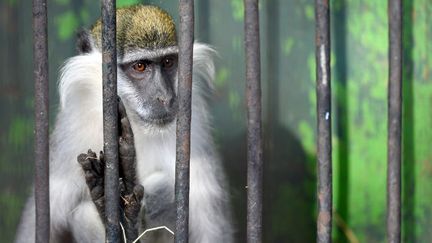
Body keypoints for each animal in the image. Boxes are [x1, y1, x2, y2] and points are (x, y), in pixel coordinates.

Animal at [15, 5, 233, 243]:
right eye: (140, 66)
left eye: (168, 62)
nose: (165, 98)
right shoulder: (71, 129)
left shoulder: (195, 127)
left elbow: (213, 229)